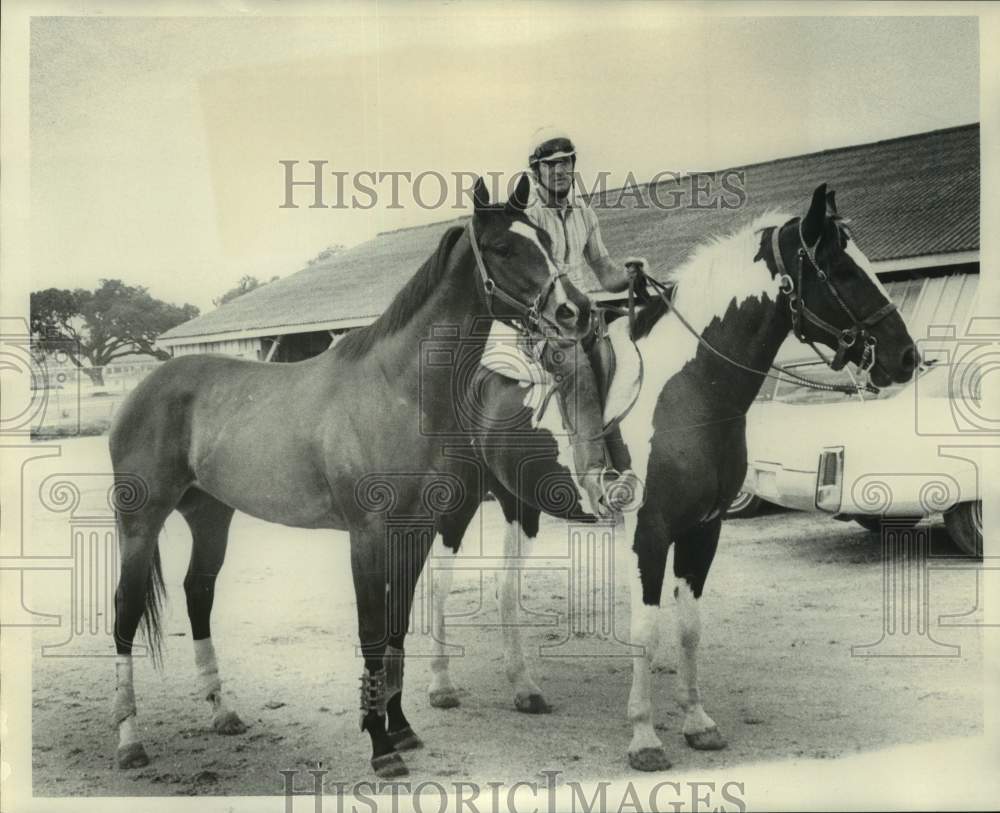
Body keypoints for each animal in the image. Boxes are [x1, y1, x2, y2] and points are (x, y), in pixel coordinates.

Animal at [107, 176, 592, 772]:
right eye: (503, 247)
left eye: (544, 239)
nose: (576, 311)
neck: (397, 390)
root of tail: (143, 389)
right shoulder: (367, 536)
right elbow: (371, 630)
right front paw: (381, 749)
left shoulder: (417, 532)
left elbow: (397, 628)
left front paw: (401, 729)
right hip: (139, 523)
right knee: (125, 614)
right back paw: (130, 742)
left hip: (210, 515)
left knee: (198, 592)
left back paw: (223, 713)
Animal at [426, 184, 916, 768]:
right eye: (840, 269)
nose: (906, 357)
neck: (691, 388)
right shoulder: (649, 532)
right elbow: (645, 629)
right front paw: (644, 737)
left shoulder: (704, 529)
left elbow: (688, 629)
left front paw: (698, 722)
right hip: (458, 501)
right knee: (439, 581)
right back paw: (440, 686)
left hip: (517, 502)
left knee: (506, 588)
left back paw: (525, 689)